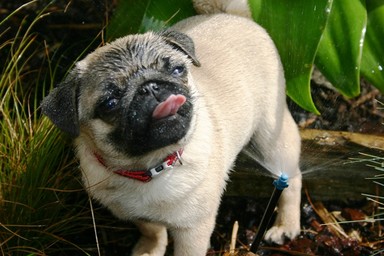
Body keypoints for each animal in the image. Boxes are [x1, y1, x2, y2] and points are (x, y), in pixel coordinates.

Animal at [42, 11, 302, 254]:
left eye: (178, 70)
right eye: (109, 103)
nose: (149, 86)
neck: (149, 167)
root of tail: (232, 14)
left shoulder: (193, 229)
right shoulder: (136, 214)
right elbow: (152, 229)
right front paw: (151, 248)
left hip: (271, 134)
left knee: (291, 177)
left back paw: (285, 226)